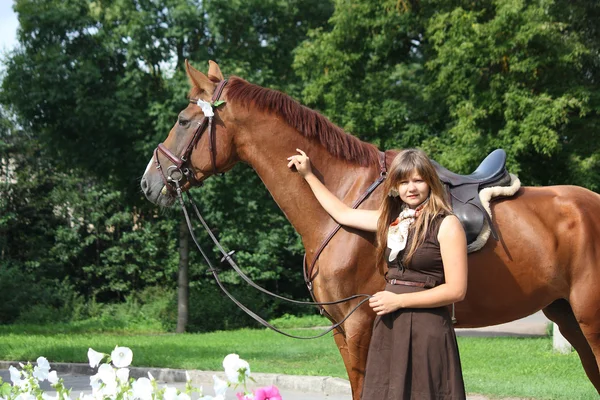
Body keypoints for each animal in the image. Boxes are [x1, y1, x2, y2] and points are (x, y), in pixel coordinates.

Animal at [142, 61, 600, 398]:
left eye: (182, 120)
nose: (149, 182)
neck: (345, 201)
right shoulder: (341, 328)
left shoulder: (362, 321)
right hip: (568, 316)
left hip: (590, 318)